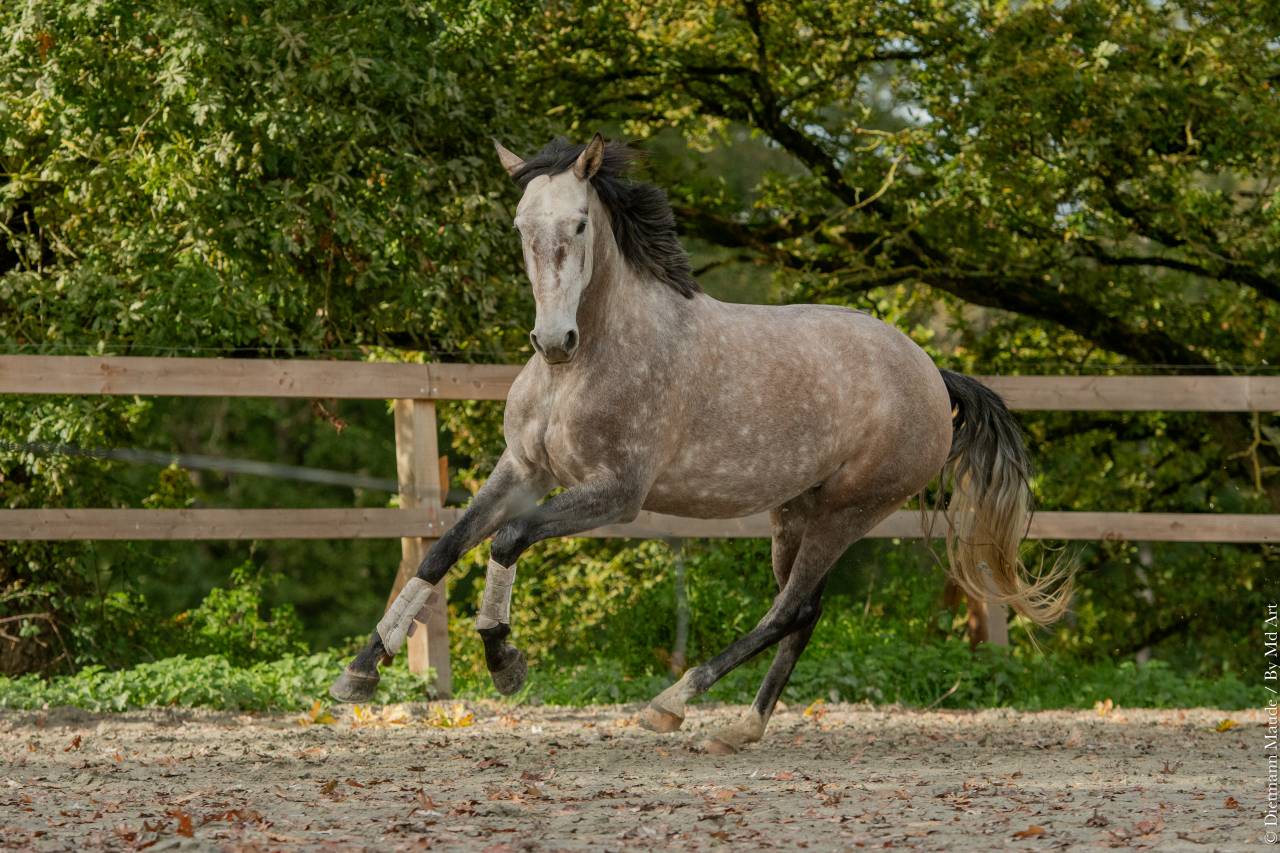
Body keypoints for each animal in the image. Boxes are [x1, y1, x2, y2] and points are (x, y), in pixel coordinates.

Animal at [330, 134, 1074, 753]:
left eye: (579, 224)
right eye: (521, 227)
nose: (552, 340)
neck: (587, 362)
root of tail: (931, 372)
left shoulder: (615, 494)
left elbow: (508, 538)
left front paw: (504, 662)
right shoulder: (525, 469)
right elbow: (445, 546)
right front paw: (360, 672)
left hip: (850, 510)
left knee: (786, 609)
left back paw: (672, 703)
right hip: (795, 512)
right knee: (805, 612)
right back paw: (742, 727)